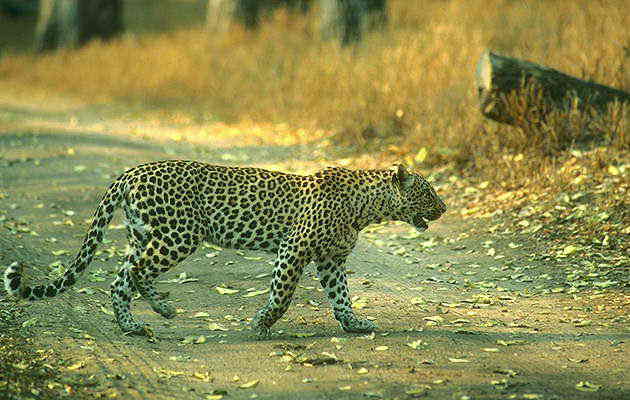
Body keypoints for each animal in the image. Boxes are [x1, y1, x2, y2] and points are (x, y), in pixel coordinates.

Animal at [4, 160, 446, 337]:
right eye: (428, 191)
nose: (444, 208)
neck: (368, 208)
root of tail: (131, 171)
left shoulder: (330, 260)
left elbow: (341, 297)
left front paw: (355, 324)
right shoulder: (295, 248)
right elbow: (283, 294)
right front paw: (263, 323)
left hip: (144, 234)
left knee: (126, 275)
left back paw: (145, 317)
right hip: (177, 236)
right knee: (130, 275)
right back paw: (144, 319)